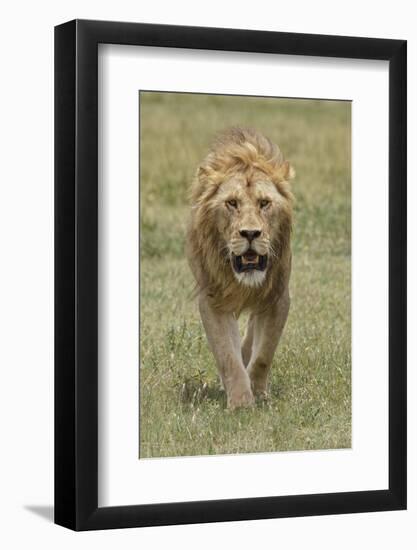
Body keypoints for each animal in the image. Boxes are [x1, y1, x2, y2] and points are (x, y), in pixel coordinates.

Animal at [185, 126, 292, 410]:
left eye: (264, 203)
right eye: (232, 203)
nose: (250, 233)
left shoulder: (278, 298)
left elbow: (264, 353)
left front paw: (258, 393)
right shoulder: (213, 301)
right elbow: (227, 356)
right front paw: (242, 402)